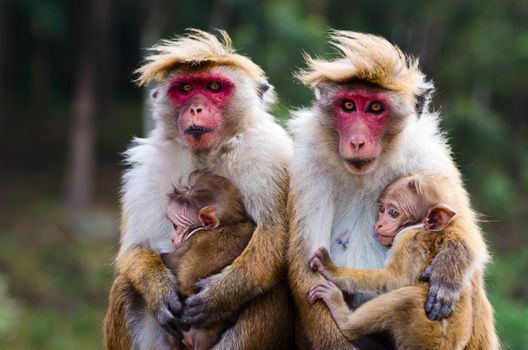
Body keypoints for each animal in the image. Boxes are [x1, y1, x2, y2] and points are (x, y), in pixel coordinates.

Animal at [310, 173, 478, 350]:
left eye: (393, 213)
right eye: (382, 209)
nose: (379, 224)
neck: (420, 226)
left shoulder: (409, 239)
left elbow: (397, 280)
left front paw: (331, 270)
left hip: (424, 332)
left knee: (407, 298)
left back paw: (344, 320)